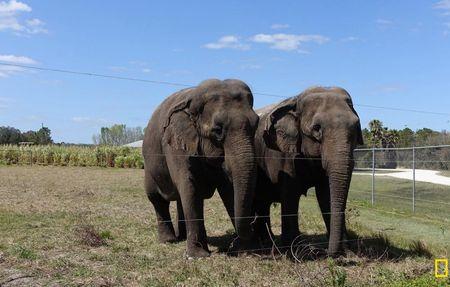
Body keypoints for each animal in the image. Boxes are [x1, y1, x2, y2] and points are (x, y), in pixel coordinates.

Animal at [142, 78, 258, 258]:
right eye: (217, 130)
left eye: (256, 124)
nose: (233, 244)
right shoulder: (175, 144)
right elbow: (189, 185)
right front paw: (197, 256)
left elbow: (228, 188)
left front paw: (244, 250)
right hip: (149, 167)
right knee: (157, 199)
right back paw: (168, 240)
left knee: (180, 199)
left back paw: (182, 237)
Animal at [253, 86, 362, 256]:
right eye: (316, 128)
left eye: (356, 126)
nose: (325, 252)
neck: (296, 99)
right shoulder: (282, 153)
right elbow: (290, 195)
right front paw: (296, 251)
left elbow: (326, 194)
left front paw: (346, 252)